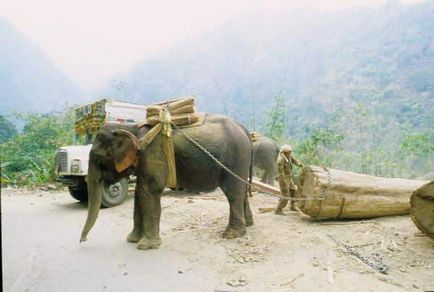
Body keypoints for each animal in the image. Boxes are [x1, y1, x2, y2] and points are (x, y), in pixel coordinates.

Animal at [80, 113, 254, 250]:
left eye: (97, 159)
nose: (83, 240)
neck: (131, 127)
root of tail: (245, 130)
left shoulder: (153, 153)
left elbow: (150, 190)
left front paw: (146, 246)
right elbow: (139, 193)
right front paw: (132, 240)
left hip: (236, 158)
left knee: (233, 193)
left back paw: (232, 234)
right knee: (242, 191)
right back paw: (248, 225)